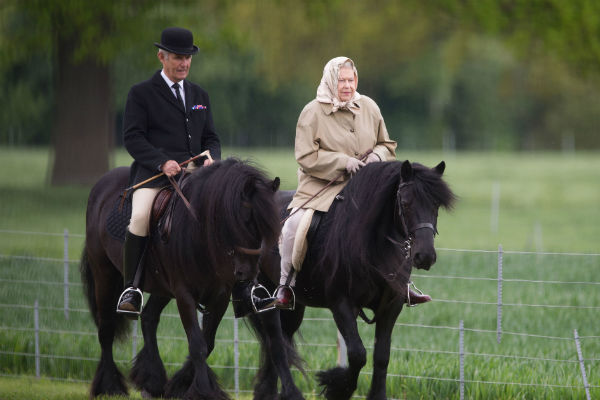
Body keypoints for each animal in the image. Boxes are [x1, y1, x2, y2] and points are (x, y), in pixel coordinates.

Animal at [81, 159, 300, 400]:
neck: (200, 232)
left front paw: (184, 385)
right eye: (244, 219)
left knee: (148, 318)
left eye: (271, 226)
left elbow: (208, 342)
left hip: (160, 286)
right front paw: (203, 391)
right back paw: (110, 386)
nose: (247, 274)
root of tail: (102, 185)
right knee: (106, 329)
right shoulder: (184, 294)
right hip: (104, 274)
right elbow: (197, 345)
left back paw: (152, 382)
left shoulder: (218, 295)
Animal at [248, 160, 454, 400]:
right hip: (268, 298)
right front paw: (338, 387)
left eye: (435, 205)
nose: (425, 256)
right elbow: (357, 353)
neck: (370, 244)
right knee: (277, 346)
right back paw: (291, 393)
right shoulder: (341, 304)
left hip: (294, 307)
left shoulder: (390, 307)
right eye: (405, 202)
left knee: (282, 342)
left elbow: (381, 356)